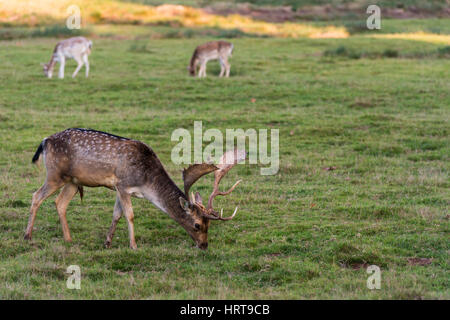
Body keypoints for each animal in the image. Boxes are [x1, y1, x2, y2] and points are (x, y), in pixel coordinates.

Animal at [25, 128, 246, 250]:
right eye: (197, 225)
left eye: (209, 225)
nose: (204, 245)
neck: (146, 181)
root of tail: (44, 141)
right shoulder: (123, 185)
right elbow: (129, 215)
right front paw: (133, 245)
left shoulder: (117, 187)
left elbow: (116, 215)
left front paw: (107, 243)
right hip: (55, 174)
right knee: (36, 196)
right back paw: (27, 236)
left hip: (72, 181)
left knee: (60, 203)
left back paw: (69, 239)